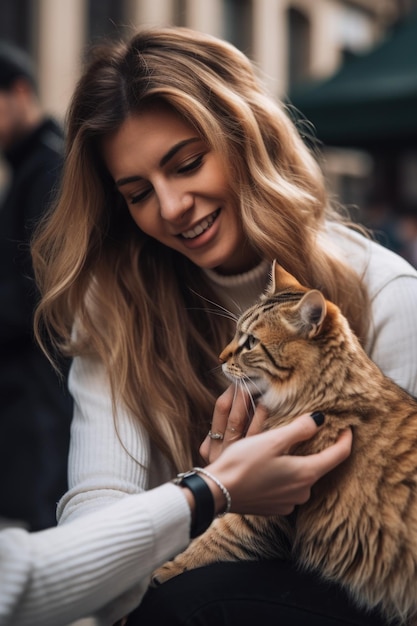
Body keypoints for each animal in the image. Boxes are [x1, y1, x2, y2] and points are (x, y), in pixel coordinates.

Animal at [153, 260, 417, 624]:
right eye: (236, 333)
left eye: (250, 342)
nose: (220, 358)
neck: (327, 393)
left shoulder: (264, 510)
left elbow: (211, 540)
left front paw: (163, 572)